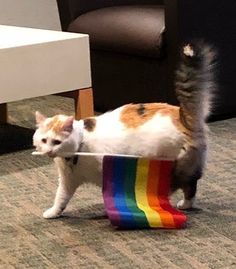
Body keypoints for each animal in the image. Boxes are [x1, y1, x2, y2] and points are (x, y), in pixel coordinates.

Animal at [33, 42, 216, 218]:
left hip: (169, 165)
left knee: (185, 185)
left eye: (57, 141)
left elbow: (114, 193)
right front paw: (53, 212)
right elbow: (61, 198)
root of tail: (183, 115)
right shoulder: (68, 181)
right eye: (44, 140)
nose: (48, 151)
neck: (79, 147)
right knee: (190, 186)